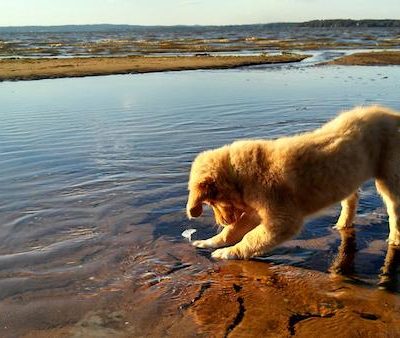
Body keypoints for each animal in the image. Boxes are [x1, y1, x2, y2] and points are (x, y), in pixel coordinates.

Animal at [186, 107, 400, 260]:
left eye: (211, 202)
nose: (222, 221)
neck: (239, 174)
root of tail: (394, 116)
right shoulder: (256, 211)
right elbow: (233, 230)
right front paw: (209, 242)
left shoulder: (283, 218)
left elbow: (252, 237)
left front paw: (228, 253)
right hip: (348, 175)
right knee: (351, 198)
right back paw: (342, 224)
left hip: (390, 176)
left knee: (393, 209)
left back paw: (394, 240)